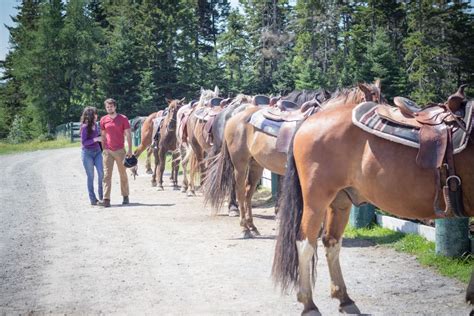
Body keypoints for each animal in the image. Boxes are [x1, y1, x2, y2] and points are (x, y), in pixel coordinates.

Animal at [204, 88, 348, 237]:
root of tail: (233, 117)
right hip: (240, 163)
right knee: (240, 191)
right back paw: (244, 227)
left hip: (255, 165)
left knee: (248, 192)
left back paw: (252, 226)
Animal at [270, 85, 474, 314]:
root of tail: (308, 122)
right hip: (316, 200)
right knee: (305, 243)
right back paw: (309, 304)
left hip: (340, 202)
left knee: (331, 241)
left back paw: (344, 298)